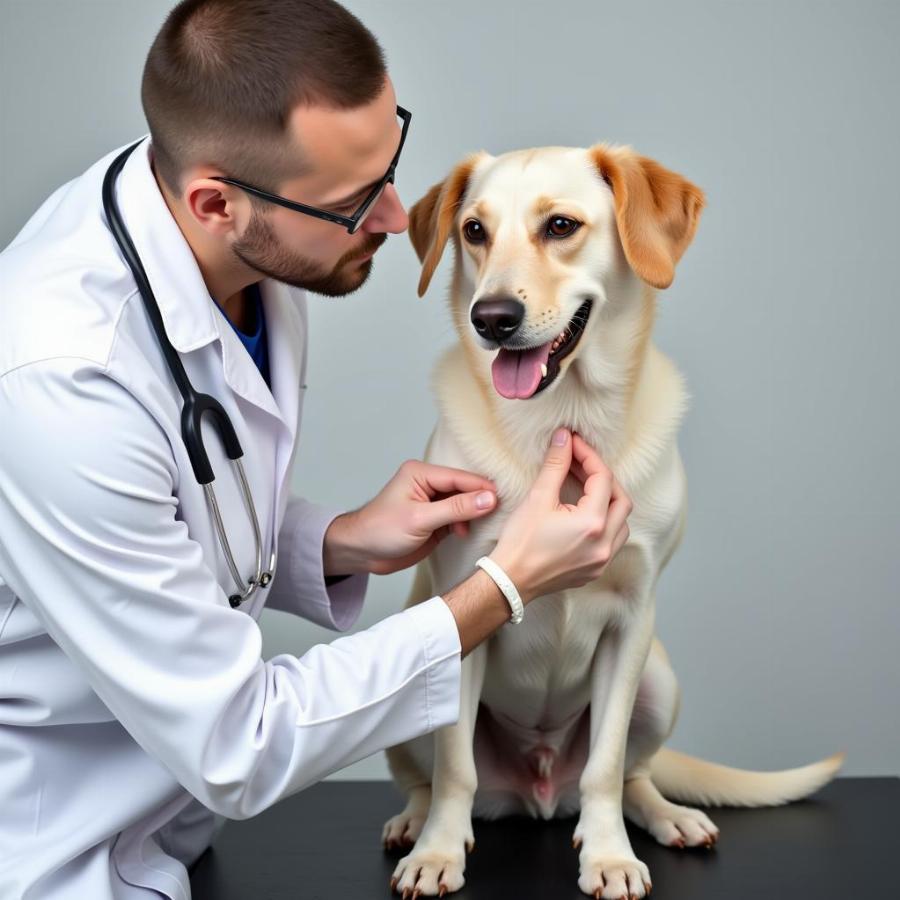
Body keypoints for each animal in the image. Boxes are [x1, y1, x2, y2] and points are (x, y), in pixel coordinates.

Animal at [382, 141, 844, 900]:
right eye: (474, 231)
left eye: (561, 226)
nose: (491, 317)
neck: (563, 421)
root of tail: (537, 792)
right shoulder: (461, 616)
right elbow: (454, 769)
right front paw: (439, 851)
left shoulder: (632, 618)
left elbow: (605, 766)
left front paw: (607, 857)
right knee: (426, 776)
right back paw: (413, 822)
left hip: (659, 681)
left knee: (632, 774)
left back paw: (666, 816)